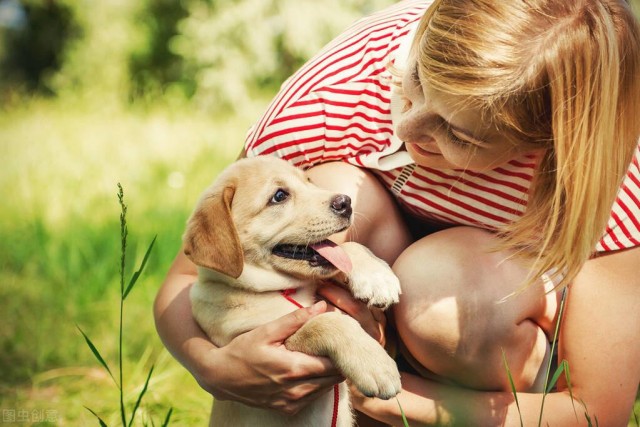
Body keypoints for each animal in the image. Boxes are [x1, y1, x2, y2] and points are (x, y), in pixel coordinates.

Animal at [185, 157, 402, 427]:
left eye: (309, 181)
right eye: (279, 196)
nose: (346, 202)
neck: (286, 289)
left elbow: (347, 247)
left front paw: (376, 277)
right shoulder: (257, 339)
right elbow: (325, 322)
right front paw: (376, 366)